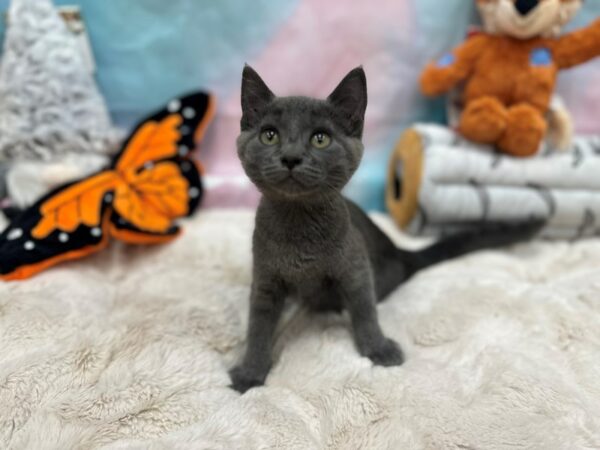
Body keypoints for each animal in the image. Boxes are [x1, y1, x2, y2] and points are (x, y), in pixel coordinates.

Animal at [230, 67, 540, 394]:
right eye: (269, 135)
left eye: (320, 139)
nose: (290, 157)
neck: (298, 224)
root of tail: (399, 252)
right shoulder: (265, 281)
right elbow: (258, 325)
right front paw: (250, 372)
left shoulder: (357, 268)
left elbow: (365, 310)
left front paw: (378, 349)